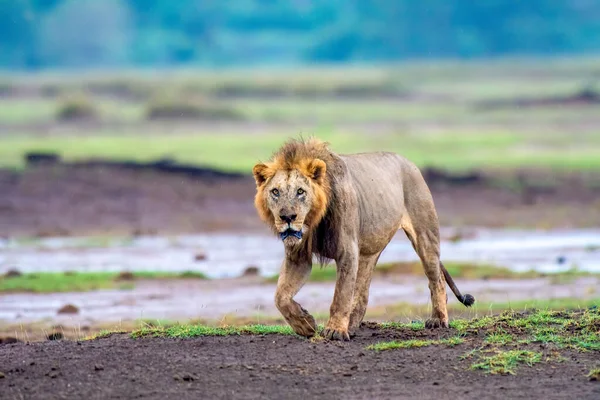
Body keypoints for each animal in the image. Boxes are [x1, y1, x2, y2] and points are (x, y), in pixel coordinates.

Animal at [252, 137, 474, 340]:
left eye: (300, 191)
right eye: (275, 192)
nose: (288, 217)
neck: (313, 222)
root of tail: (409, 163)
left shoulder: (348, 251)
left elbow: (341, 295)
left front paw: (334, 331)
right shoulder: (298, 257)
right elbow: (280, 297)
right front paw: (305, 324)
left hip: (425, 236)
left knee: (436, 279)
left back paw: (438, 319)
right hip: (369, 251)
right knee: (362, 292)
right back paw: (351, 325)